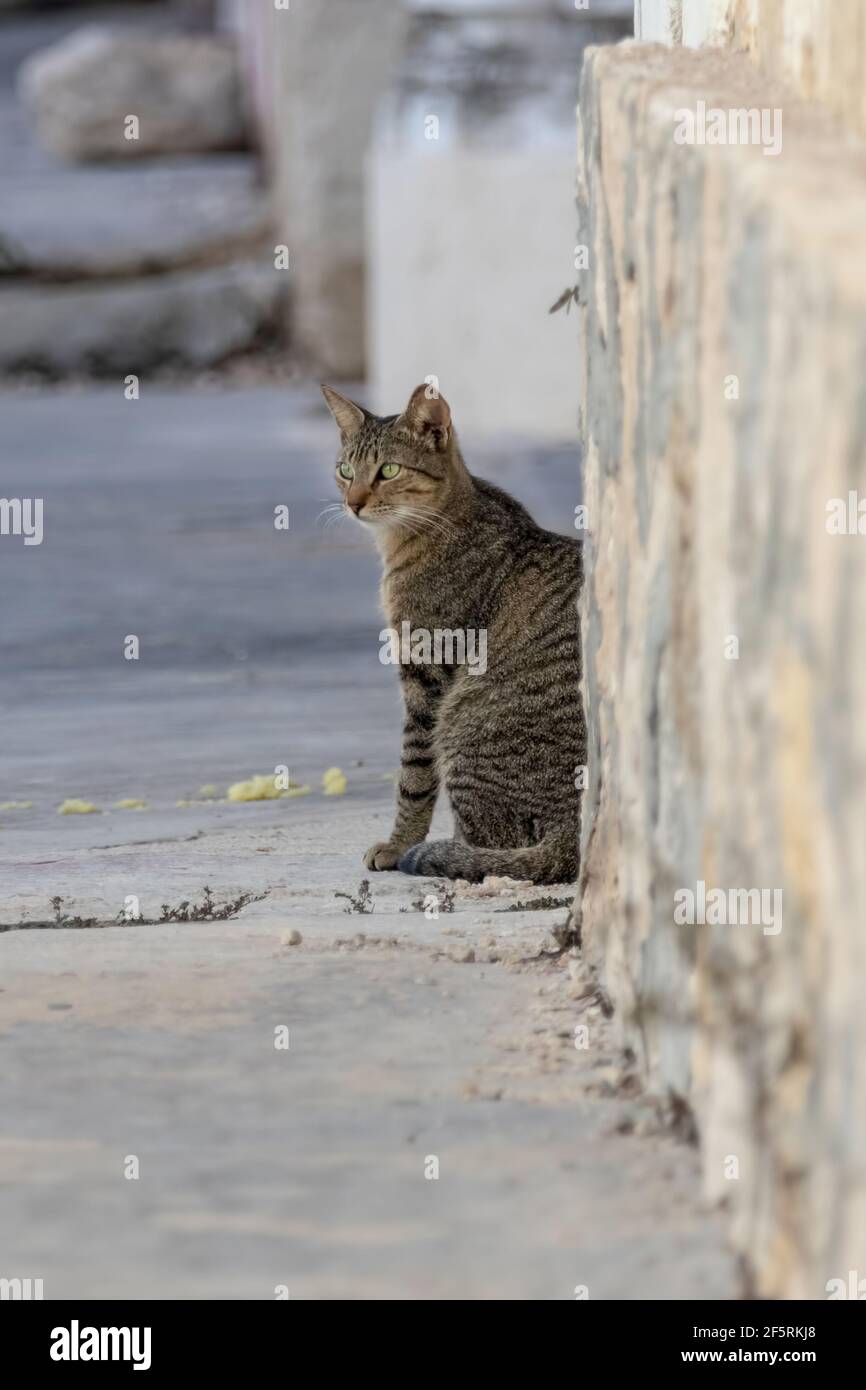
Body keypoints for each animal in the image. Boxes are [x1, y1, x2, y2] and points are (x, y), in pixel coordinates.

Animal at [322, 383, 586, 878]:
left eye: (388, 470)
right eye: (346, 470)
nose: (354, 502)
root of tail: (575, 834)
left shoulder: (427, 671)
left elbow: (414, 774)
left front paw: (398, 843)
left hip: (460, 720)